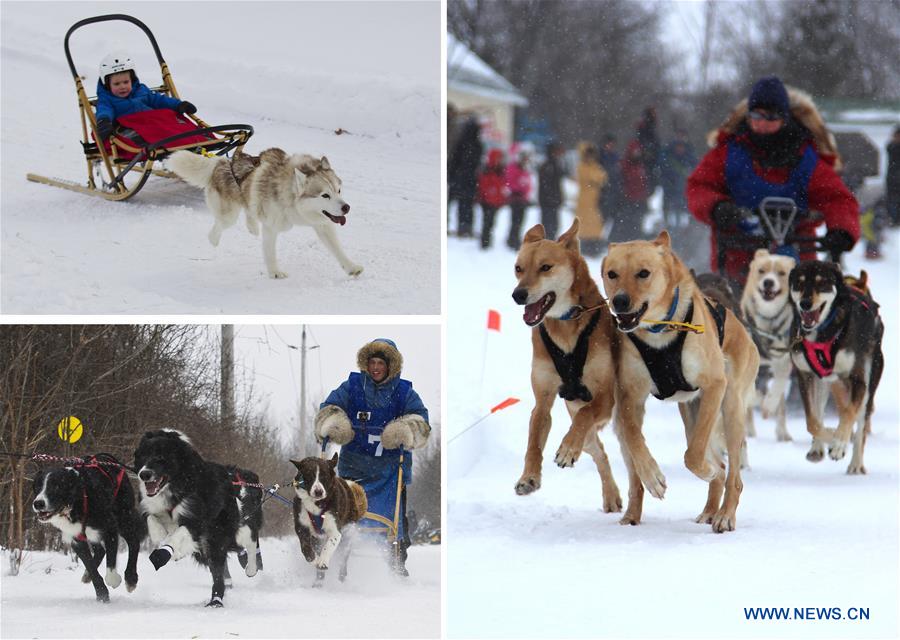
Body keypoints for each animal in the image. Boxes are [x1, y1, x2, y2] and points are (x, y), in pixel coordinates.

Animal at [132, 430, 241, 604]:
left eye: (160, 457)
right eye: (143, 455)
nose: (144, 474)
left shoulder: (195, 518)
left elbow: (179, 535)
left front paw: (165, 553)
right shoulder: (150, 507)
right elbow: (152, 521)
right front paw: (162, 539)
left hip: (217, 535)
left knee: (217, 571)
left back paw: (216, 601)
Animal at [167, 151, 364, 282]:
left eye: (338, 191)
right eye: (325, 195)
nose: (346, 207)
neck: (290, 198)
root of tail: (222, 162)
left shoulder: (322, 224)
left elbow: (338, 250)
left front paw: (351, 267)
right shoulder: (272, 227)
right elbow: (270, 253)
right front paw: (275, 272)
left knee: (249, 210)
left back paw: (252, 227)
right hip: (229, 216)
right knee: (218, 226)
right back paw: (214, 239)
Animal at [596, 232, 760, 532]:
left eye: (643, 273)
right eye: (611, 274)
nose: (619, 301)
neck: (658, 333)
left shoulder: (714, 385)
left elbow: (693, 456)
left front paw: (704, 471)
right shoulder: (630, 395)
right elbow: (635, 438)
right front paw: (652, 477)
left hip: (730, 407)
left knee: (731, 474)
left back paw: (725, 514)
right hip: (691, 417)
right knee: (718, 465)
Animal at [740, 246, 800, 440]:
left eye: (781, 273)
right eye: (761, 271)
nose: (768, 282)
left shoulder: (783, 360)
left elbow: (778, 387)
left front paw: (768, 404)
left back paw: (782, 431)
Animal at [788, 258, 884, 470]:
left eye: (821, 282)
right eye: (799, 283)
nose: (805, 303)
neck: (823, 332)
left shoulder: (858, 380)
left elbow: (849, 413)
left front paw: (839, 444)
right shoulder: (804, 376)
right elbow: (812, 421)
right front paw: (831, 437)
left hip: (869, 382)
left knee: (861, 422)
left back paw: (856, 464)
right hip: (825, 383)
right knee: (820, 411)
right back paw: (817, 447)